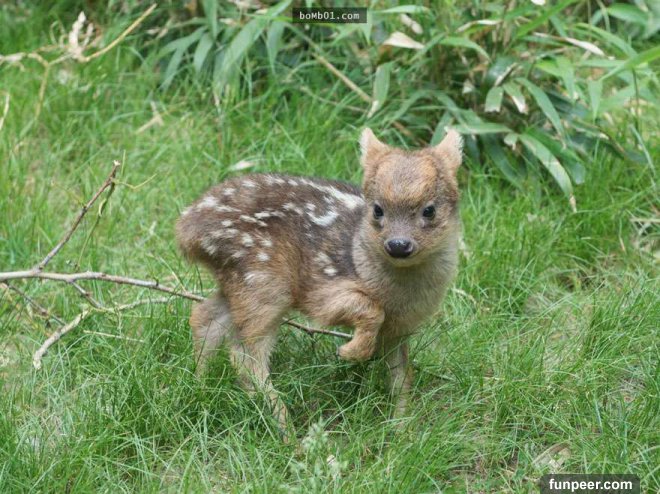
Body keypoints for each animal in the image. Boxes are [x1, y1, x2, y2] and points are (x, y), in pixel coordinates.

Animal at [175, 128, 462, 433]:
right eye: (377, 209)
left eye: (429, 210)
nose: (398, 245)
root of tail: (186, 231)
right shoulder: (323, 291)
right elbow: (370, 310)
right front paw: (349, 352)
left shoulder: (401, 328)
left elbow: (401, 375)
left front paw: (401, 428)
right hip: (263, 280)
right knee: (244, 354)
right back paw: (287, 430)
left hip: (238, 280)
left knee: (204, 317)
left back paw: (199, 386)